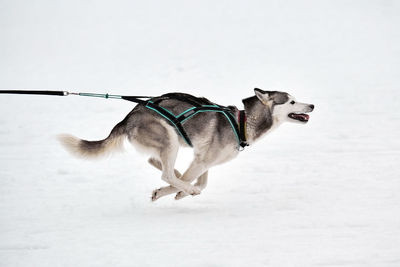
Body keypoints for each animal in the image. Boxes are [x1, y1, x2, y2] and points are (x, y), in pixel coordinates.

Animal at [58, 88, 316, 201]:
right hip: (169, 137)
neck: (242, 123)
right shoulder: (203, 160)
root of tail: (129, 117)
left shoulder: (203, 159)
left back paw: (178, 177)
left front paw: (181, 191)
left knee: (159, 163)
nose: (312, 105)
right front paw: (182, 190)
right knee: (165, 173)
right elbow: (193, 183)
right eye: (292, 101)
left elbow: (202, 181)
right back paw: (180, 183)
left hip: (169, 143)